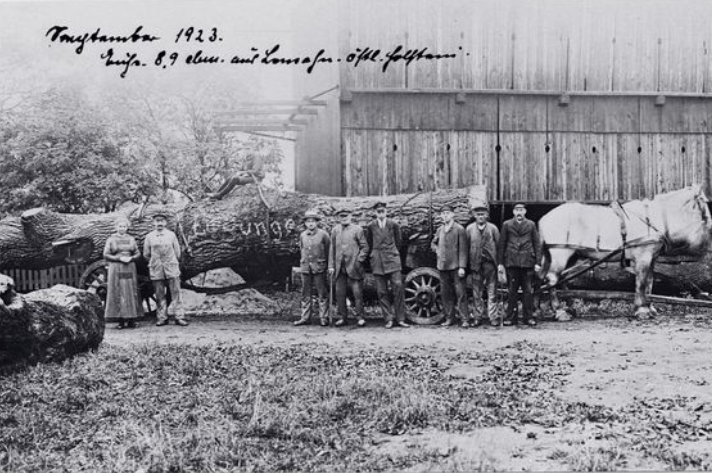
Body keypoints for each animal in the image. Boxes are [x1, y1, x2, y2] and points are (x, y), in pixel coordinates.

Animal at [540, 184, 712, 318]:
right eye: (704, 202)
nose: (710, 225)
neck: (653, 218)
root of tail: (544, 219)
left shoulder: (652, 258)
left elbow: (649, 282)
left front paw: (650, 307)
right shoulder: (643, 257)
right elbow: (641, 283)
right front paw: (641, 310)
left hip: (572, 255)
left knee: (562, 279)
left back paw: (570, 307)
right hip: (560, 254)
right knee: (552, 279)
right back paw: (559, 311)